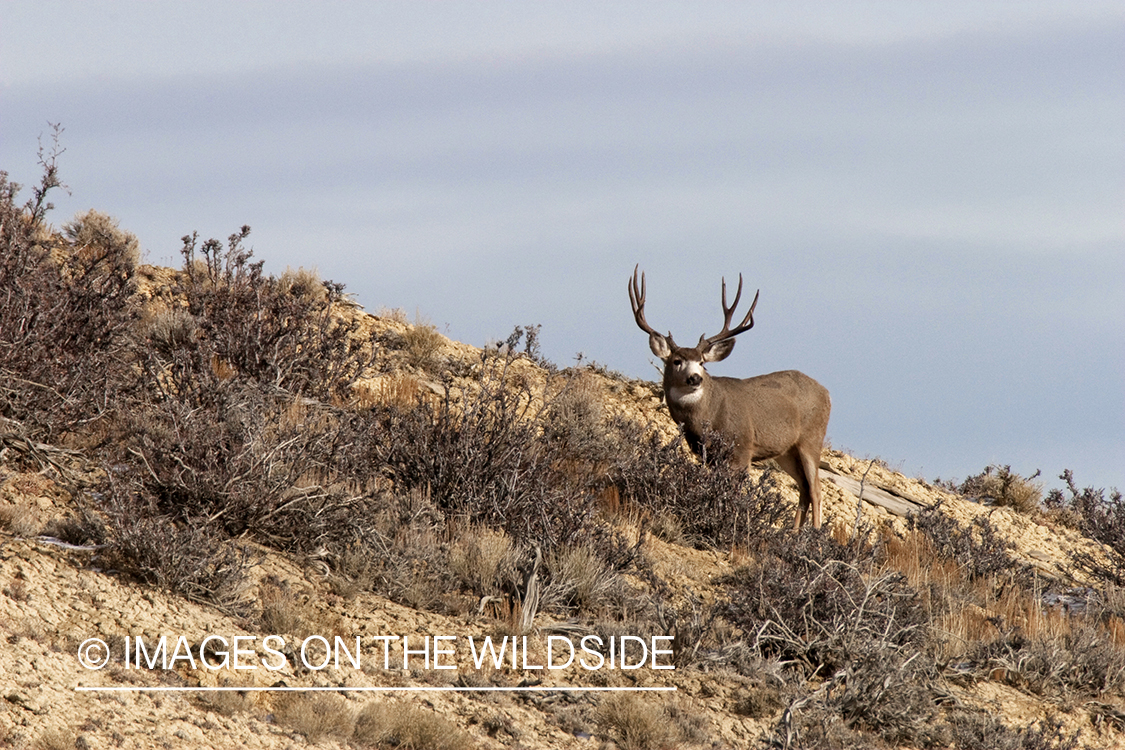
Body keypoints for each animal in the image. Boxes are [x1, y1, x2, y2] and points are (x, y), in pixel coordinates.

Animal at [628, 265, 831, 529]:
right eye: (676, 361)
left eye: (702, 362)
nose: (695, 378)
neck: (710, 416)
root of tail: (826, 392)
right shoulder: (706, 454)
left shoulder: (743, 448)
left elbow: (735, 491)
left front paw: (731, 522)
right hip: (787, 451)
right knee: (804, 488)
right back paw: (794, 533)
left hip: (811, 438)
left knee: (815, 489)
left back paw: (814, 535)